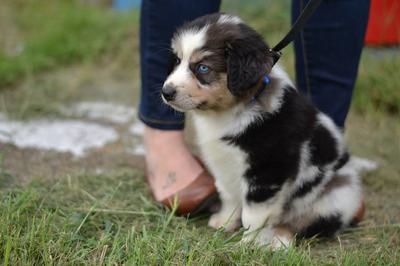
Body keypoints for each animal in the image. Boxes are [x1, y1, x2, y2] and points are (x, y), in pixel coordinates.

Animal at [161, 13, 364, 249]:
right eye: (177, 60)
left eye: (203, 68)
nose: (166, 92)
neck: (230, 112)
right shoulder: (224, 164)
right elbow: (229, 196)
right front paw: (224, 222)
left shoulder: (267, 171)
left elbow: (254, 215)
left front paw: (249, 244)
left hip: (334, 198)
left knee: (304, 224)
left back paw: (279, 239)